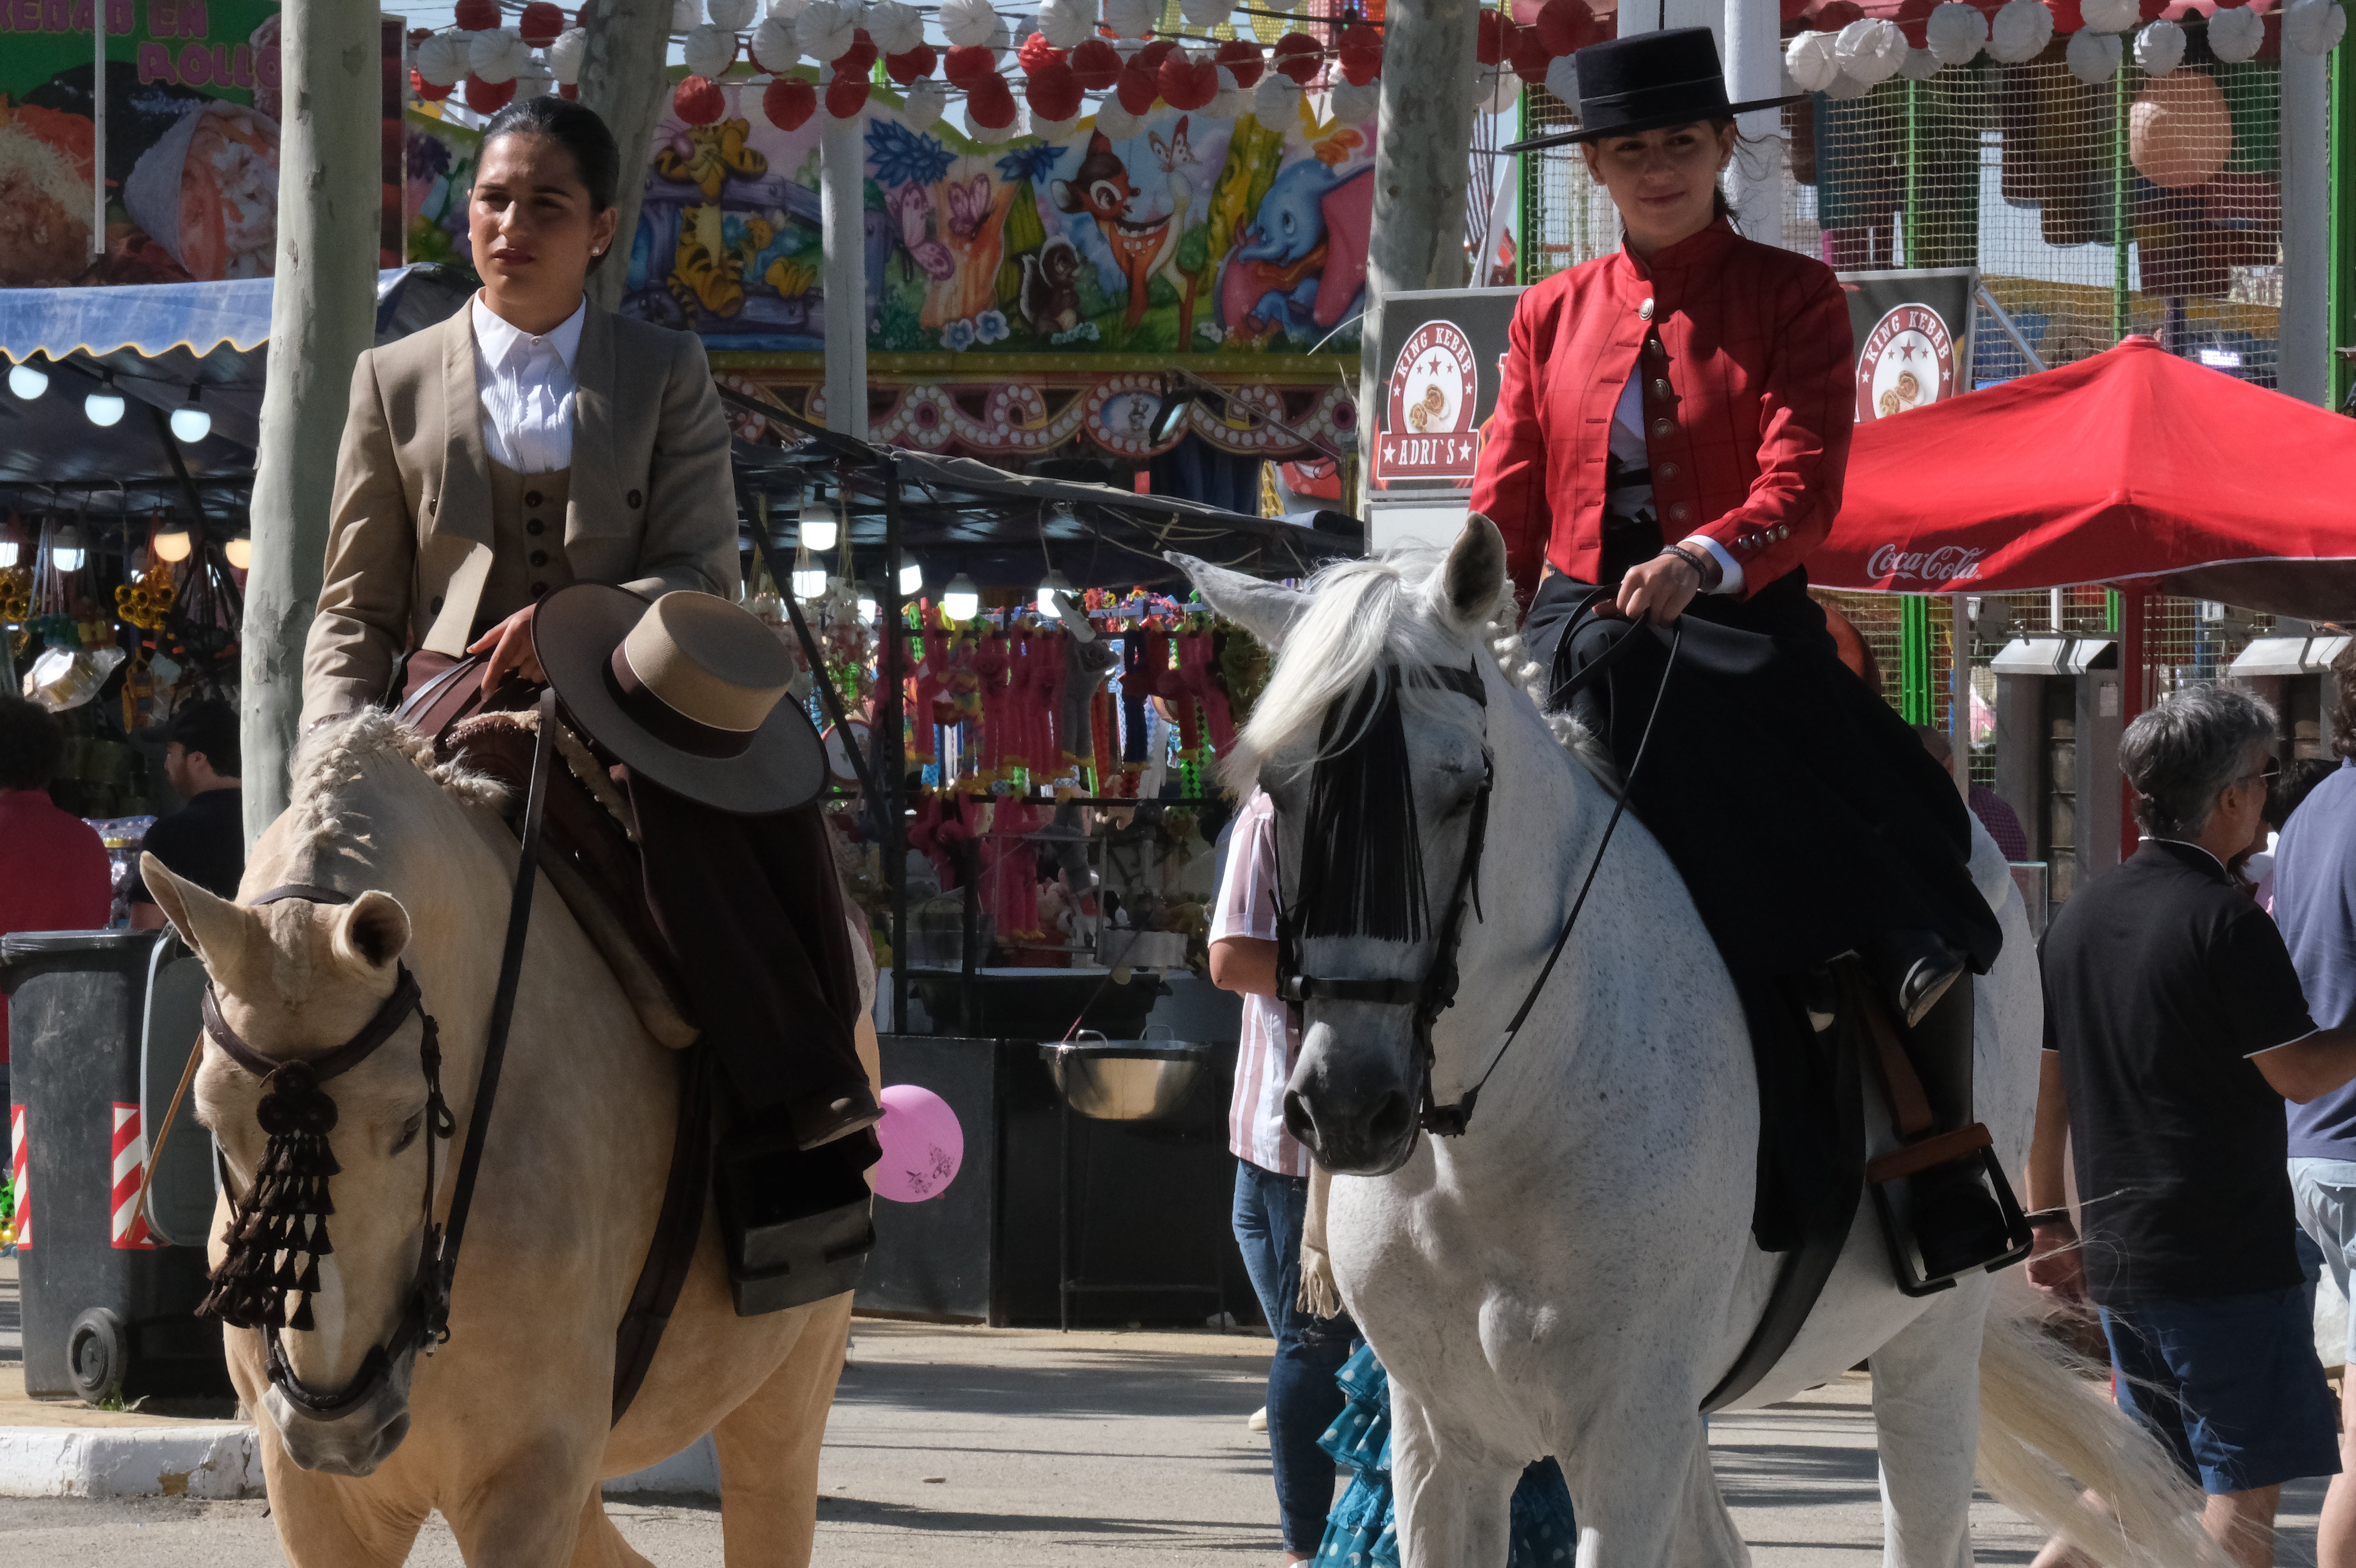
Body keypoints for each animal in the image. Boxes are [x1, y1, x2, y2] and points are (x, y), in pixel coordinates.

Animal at [138, 711, 876, 1563]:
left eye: (409, 1123)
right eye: (214, 1126)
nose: (339, 1429)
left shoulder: (528, 1476)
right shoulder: (321, 1499)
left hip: (787, 1393)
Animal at [1178, 523, 2224, 1563]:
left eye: (1463, 789)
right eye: (1278, 789)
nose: (1349, 1106)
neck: (1492, 1129)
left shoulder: (1626, 1435)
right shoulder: (1442, 1442)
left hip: (1927, 1344)